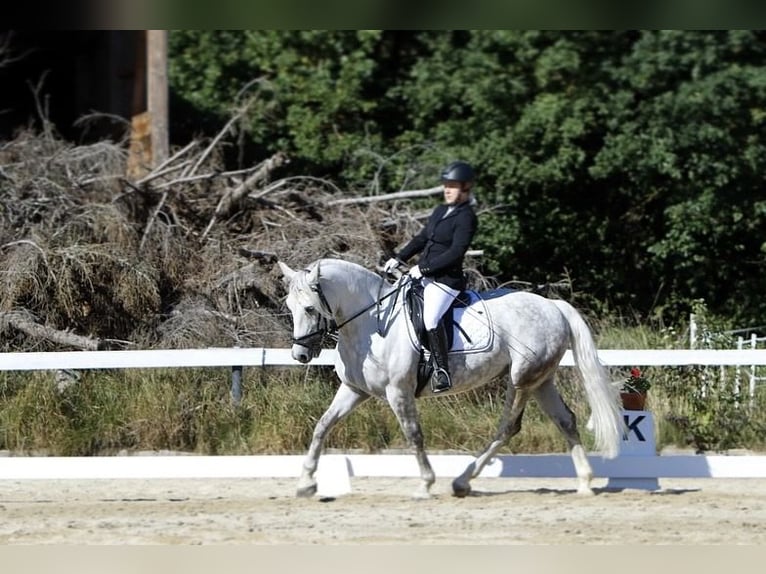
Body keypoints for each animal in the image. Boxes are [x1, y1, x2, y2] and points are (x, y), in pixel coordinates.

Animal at [278, 257, 623, 498]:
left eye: (310, 308)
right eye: (289, 307)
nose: (300, 355)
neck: (371, 323)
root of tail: (554, 306)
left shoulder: (398, 391)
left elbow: (414, 434)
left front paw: (425, 485)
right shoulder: (353, 390)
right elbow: (322, 426)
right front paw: (306, 483)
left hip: (521, 379)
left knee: (508, 427)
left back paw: (462, 481)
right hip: (541, 380)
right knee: (565, 420)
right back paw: (585, 483)